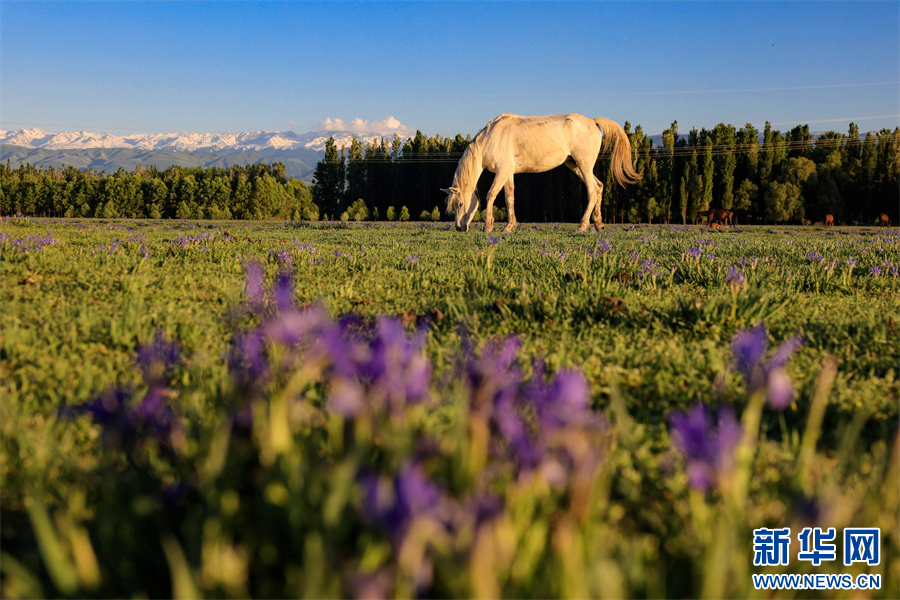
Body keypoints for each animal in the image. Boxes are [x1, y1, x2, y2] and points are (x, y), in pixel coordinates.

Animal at [442, 112, 640, 232]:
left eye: (460, 204)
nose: (459, 227)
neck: (491, 139)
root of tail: (592, 121)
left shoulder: (502, 171)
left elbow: (491, 194)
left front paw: (488, 226)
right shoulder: (508, 173)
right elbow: (509, 198)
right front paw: (509, 226)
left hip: (584, 165)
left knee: (592, 191)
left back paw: (583, 225)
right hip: (576, 166)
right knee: (599, 187)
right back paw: (598, 224)